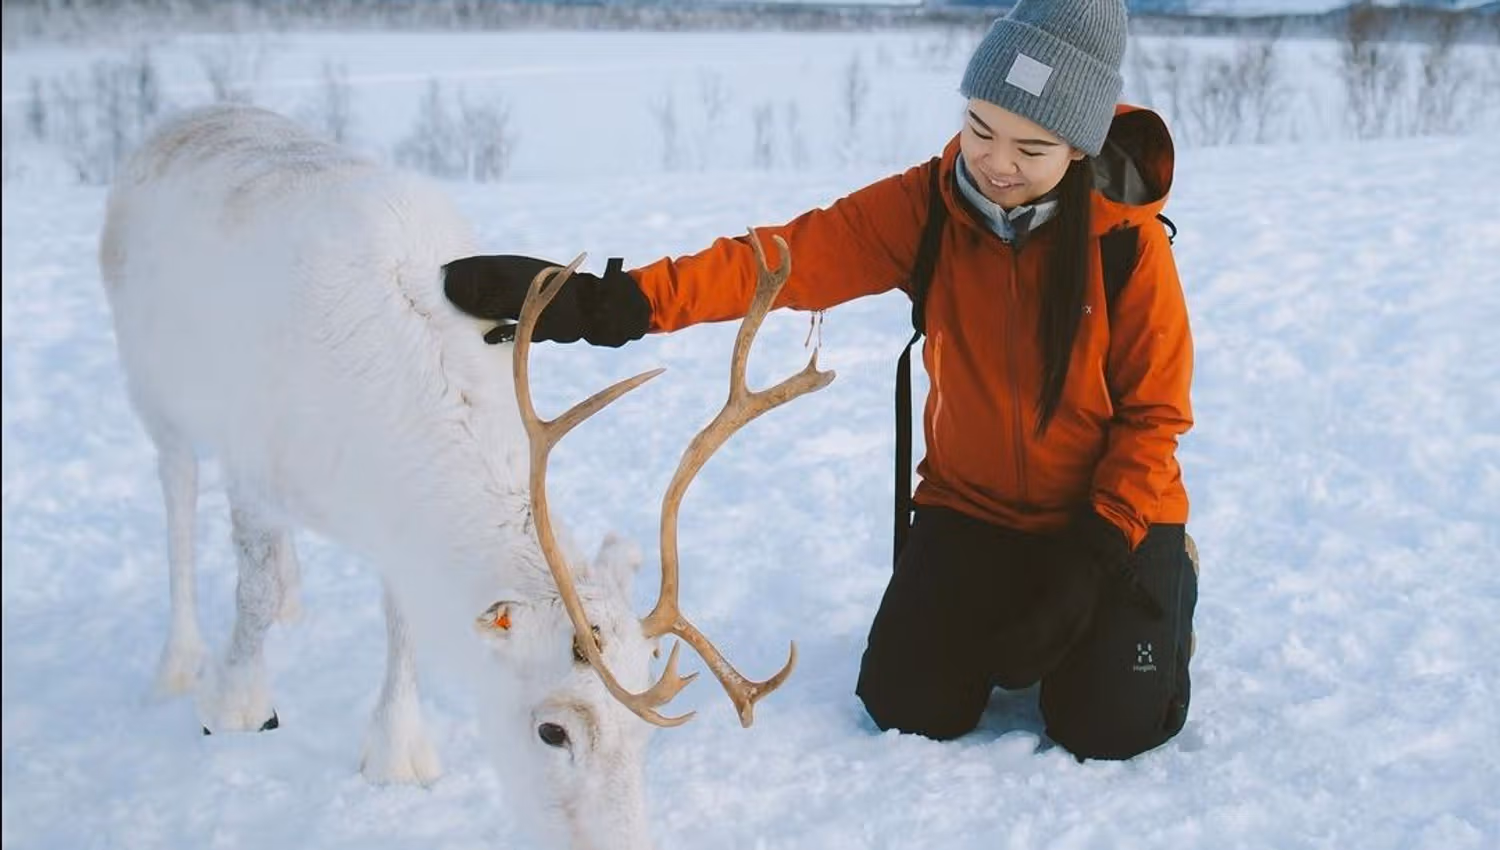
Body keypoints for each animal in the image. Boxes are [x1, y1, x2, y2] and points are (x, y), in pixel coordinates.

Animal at [98, 103, 833, 850]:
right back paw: (179, 659)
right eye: (551, 732)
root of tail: (187, 118)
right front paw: (236, 706)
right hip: (154, 395)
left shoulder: (392, 522)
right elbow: (251, 591)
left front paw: (395, 751)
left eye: (645, 738)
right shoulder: (252, 466)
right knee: (178, 499)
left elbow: (401, 624)